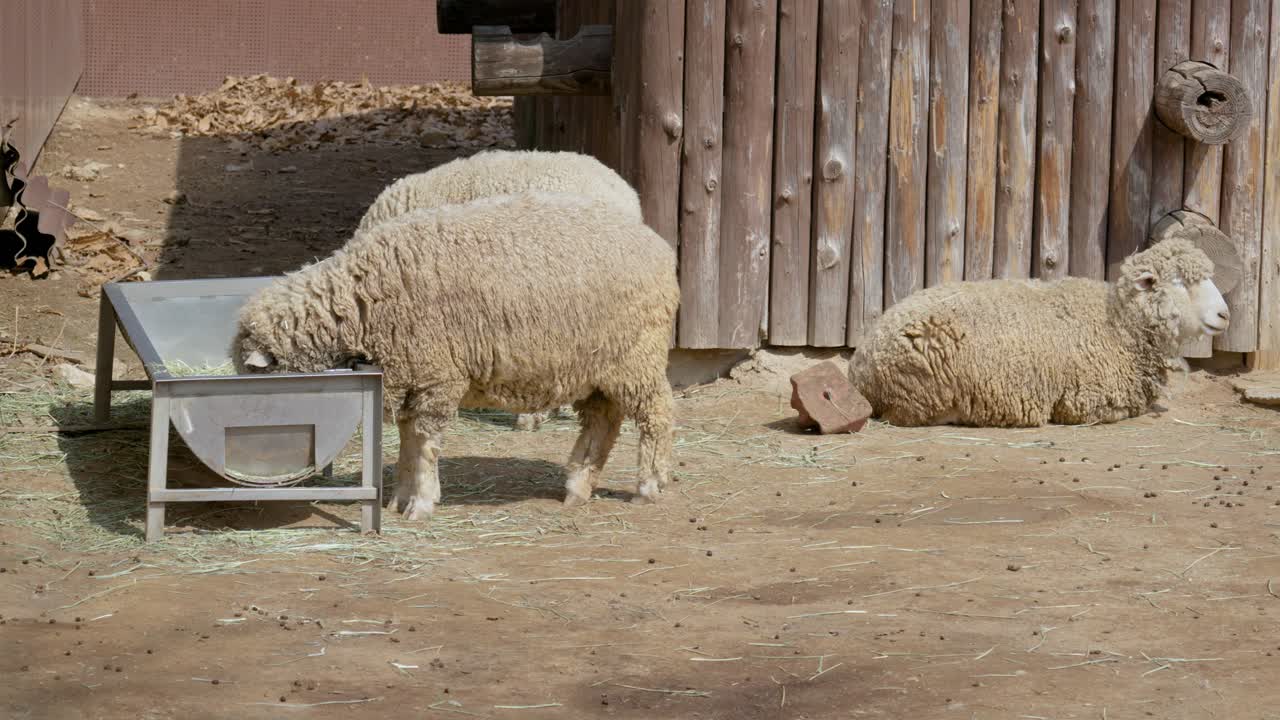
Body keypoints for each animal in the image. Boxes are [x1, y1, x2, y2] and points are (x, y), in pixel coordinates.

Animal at [232, 191, 680, 520]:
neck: (358, 302)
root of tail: (657, 245)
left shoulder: (437, 376)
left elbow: (425, 442)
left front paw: (421, 502)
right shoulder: (410, 378)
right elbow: (408, 443)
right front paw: (399, 498)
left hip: (637, 357)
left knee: (656, 415)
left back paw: (647, 486)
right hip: (597, 367)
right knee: (603, 422)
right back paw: (578, 487)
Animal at [847, 238, 1231, 427]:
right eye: (1180, 282)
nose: (1225, 314)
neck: (1118, 324)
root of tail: (861, 363)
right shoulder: (1084, 402)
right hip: (922, 391)